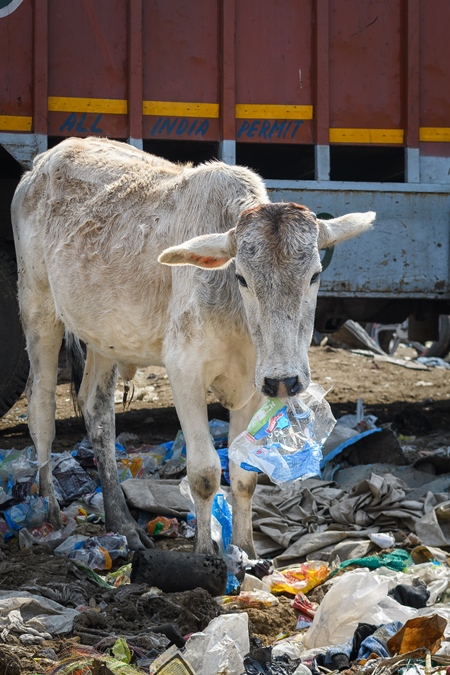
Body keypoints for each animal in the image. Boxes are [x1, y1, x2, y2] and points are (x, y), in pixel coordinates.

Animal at [11, 136, 376, 556]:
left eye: (314, 275)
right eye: (242, 277)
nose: (286, 381)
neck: (239, 322)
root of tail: (45, 160)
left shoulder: (255, 383)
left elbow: (243, 476)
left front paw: (247, 553)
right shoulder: (184, 371)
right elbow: (204, 474)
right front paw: (205, 555)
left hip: (104, 336)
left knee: (97, 412)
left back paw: (123, 523)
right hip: (37, 306)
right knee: (41, 408)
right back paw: (50, 511)